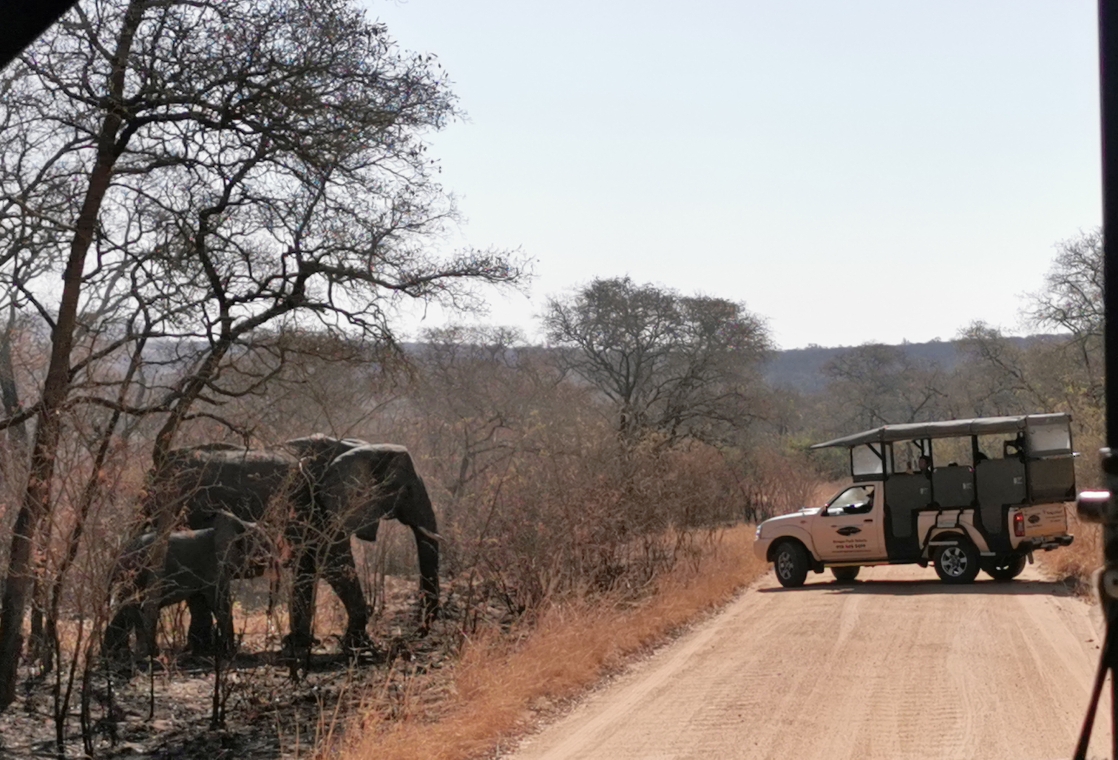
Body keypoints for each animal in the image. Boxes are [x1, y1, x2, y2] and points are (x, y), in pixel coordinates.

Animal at [105, 514, 270, 657]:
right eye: (264, 545)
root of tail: (120, 555)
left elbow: (200, 604)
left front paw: (202, 652)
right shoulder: (213, 566)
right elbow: (219, 604)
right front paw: (229, 653)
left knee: (128, 609)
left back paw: (114, 654)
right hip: (136, 573)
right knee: (135, 607)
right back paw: (145, 654)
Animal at [146, 435, 442, 648]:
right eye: (406, 490)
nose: (416, 634)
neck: (359, 445)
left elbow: (307, 567)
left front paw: (300, 643)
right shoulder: (319, 505)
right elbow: (333, 563)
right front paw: (357, 645)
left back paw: (200, 650)